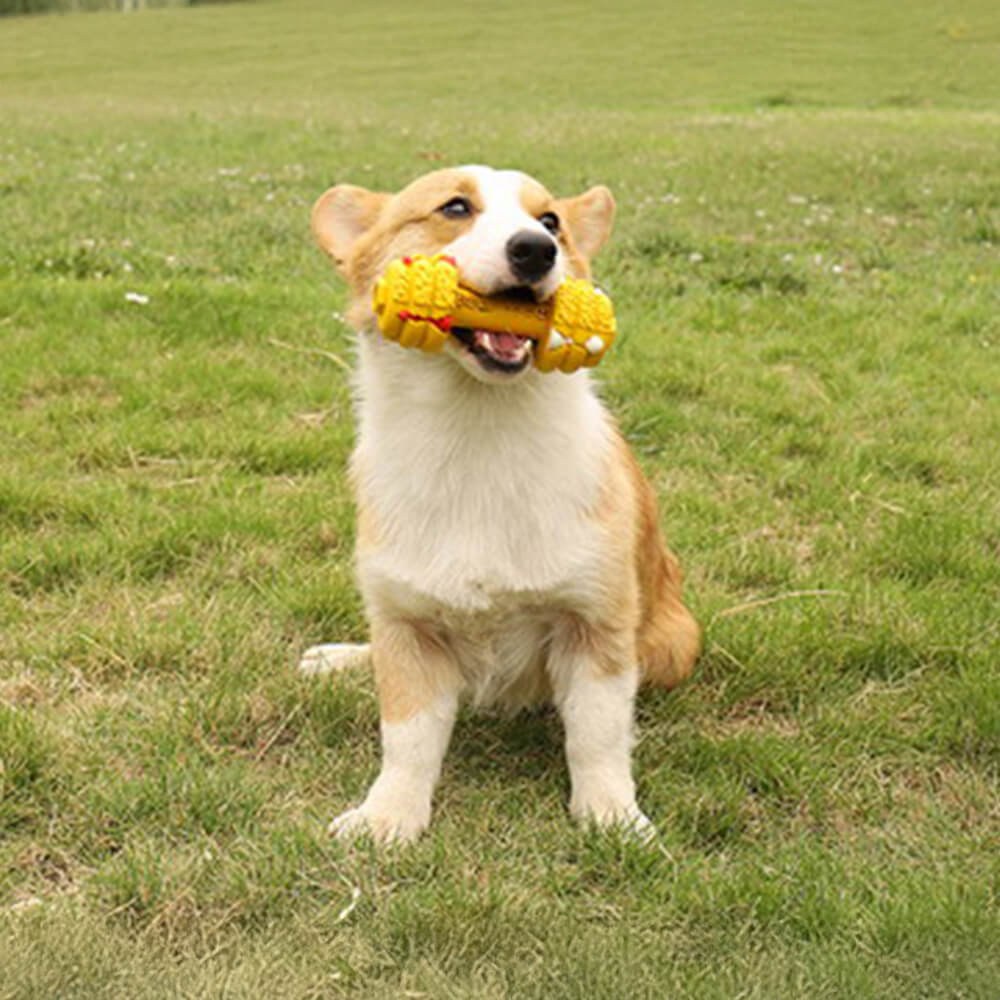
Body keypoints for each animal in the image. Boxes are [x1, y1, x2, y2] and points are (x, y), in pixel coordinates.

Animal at [300, 166, 700, 844]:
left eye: (551, 222)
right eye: (454, 208)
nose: (536, 251)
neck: (477, 429)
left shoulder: (595, 623)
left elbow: (597, 737)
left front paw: (613, 818)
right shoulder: (407, 623)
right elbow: (406, 737)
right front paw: (388, 818)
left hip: (674, 642)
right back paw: (334, 658)